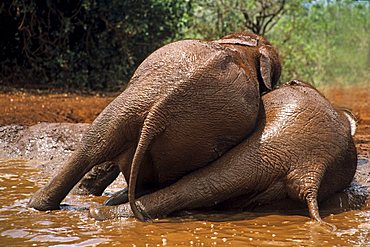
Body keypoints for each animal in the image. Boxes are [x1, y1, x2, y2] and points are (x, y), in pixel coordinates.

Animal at [28, 31, 282, 221]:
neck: (243, 49)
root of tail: (160, 111)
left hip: (166, 122)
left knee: (96, 141)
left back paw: (39, 206)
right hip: (179, 128)